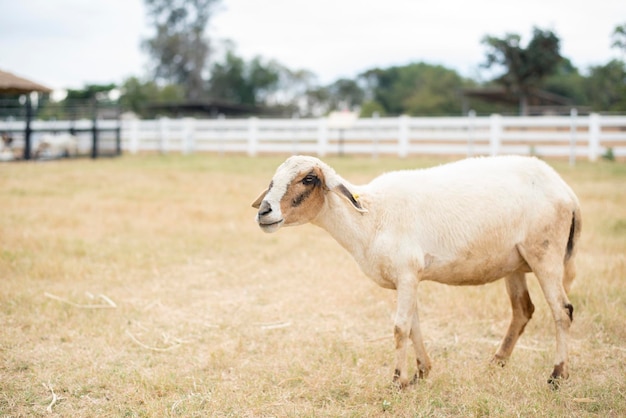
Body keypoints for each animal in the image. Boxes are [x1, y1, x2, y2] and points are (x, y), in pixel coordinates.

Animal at [250, 156, 580, 388]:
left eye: (309, 179)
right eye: (273, 180)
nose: (264, 212)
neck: (370, 219)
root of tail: (566, 190)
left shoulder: (407, 273)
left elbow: (400, 328)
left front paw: (397, 381)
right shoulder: (406, 279)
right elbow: (413, 326)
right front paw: (422, 373)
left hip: (545, 254)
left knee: (562, 311)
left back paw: (557, 376)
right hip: (515, 262)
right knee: (523, 310)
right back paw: (496, 362)